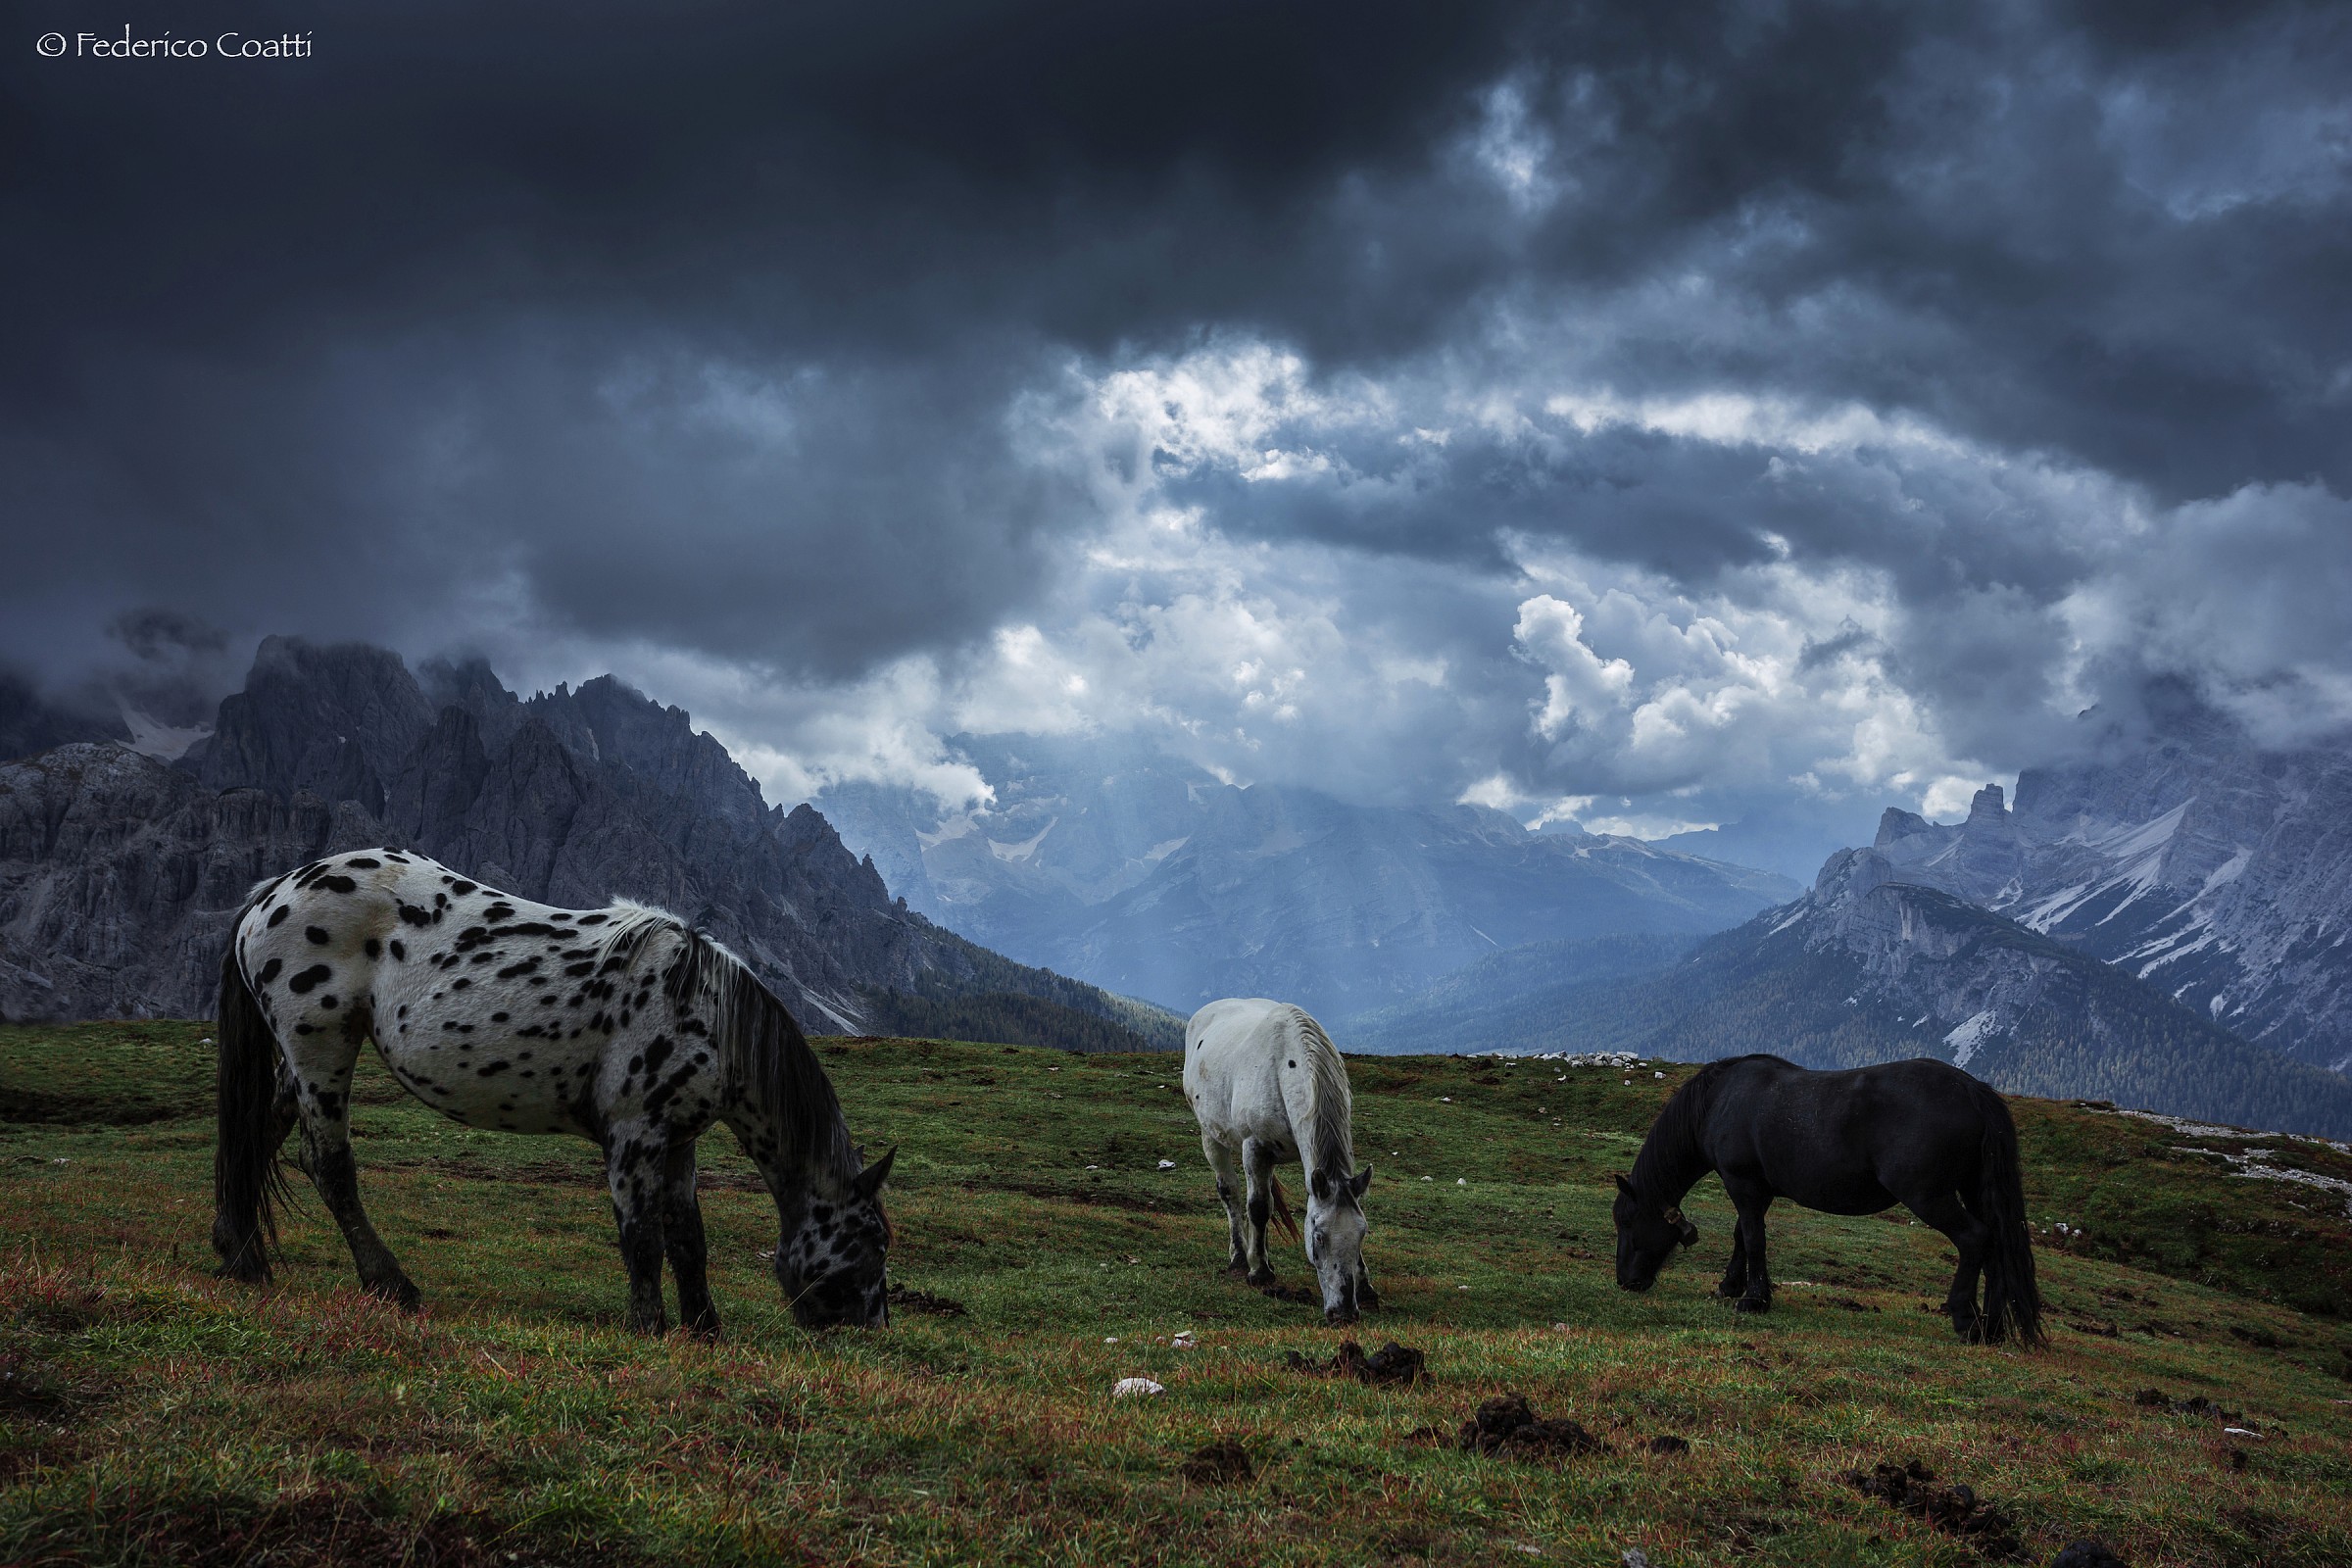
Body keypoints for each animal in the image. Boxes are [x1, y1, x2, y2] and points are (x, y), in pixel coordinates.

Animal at [211, 848, 895, 1335]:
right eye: (873, 1241)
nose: (870, 1326)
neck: (701, 1009)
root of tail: (271, 893)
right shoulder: (633, 1136)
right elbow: (642, 1237)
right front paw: (650, 1329)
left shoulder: (678, 1142)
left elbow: (687, 1238)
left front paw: (705, 1330)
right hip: (320, 1049)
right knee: (328, 1166)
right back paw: (390, 1285)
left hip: (299, 1064)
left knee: (257, 1133)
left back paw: (241, 1256)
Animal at [1183, 997, 1376, 1324]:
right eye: (1318, 1237)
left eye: (1361, 1235)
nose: (1344, 1313)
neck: (1285, 1066)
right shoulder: (1254, 1147)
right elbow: (1259, 1207)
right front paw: (1259, 1271)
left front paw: (1365, 1286)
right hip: (1212, 1137)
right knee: (1231, 1194)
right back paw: (1240, 1257)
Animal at [1611, 1054, 2041, 1345]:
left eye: (1627, 1223)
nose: (1625, 1282)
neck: (1720, 1099)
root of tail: (1972, 1090)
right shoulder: (1756, 1190)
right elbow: (1741, 1237)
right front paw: (1731, 1285)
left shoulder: (1742, 1184)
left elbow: (1753, 1239)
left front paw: (1754, 1298)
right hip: (1973, 1190)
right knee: (1996, 1246)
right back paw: (1994, 1327)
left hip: (1929, 1196)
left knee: (1974, 1239)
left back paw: (1966, 1319)